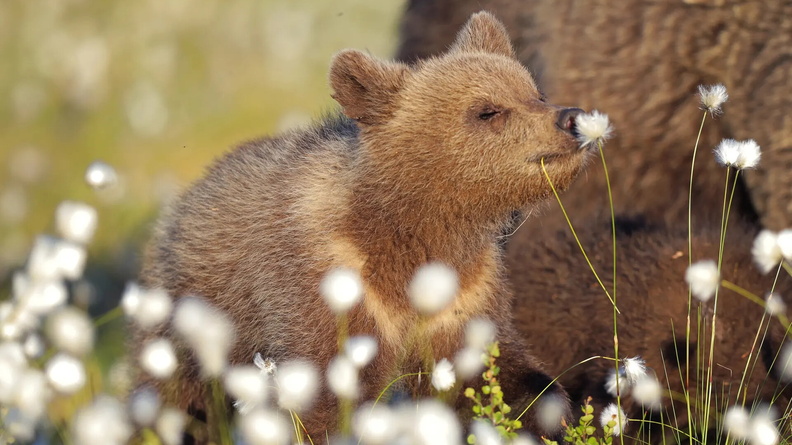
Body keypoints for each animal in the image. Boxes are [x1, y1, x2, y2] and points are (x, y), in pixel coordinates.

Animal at [136, 12, 597, 442]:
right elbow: (324, 395)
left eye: (534, 92)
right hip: (191, 317)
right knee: (179, 398)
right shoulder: (326, 286)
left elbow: (495, 372)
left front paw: (551, 415)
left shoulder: (463, 293)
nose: (570, 118)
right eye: (487, 110)